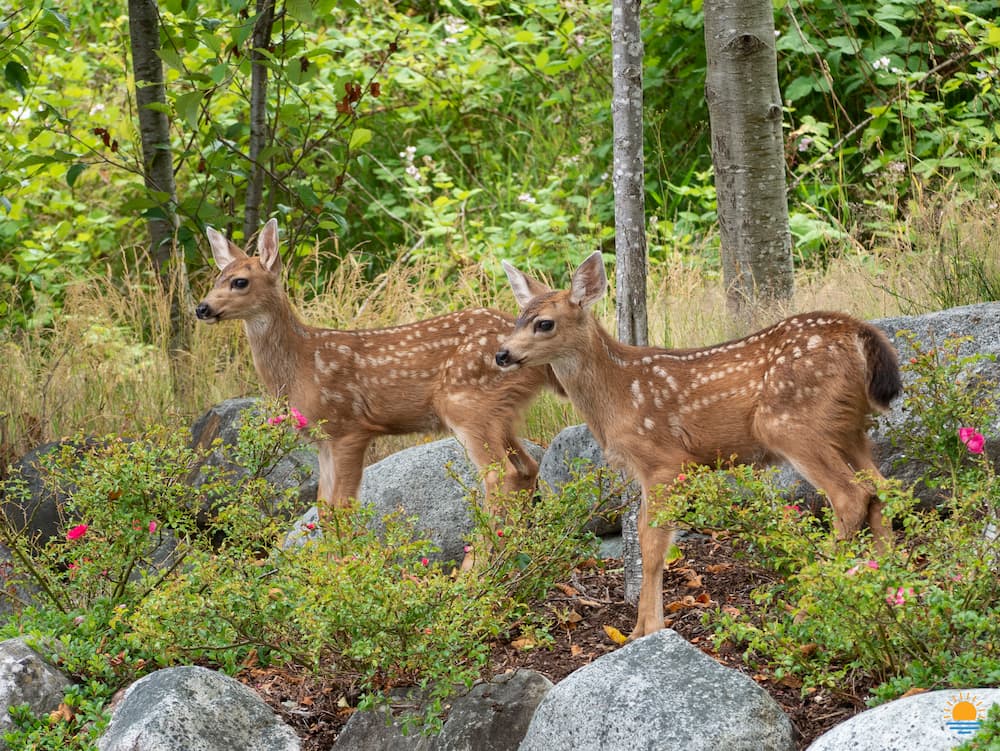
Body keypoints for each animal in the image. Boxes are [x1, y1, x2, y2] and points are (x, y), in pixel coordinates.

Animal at [194, 218, 562, 543]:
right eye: (218, 277)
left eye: (240, 281)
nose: (202, 308)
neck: (303, 363)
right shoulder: (323, 439)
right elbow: (323, 509)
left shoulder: (350, 427)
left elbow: (342, 507)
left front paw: (347, 566)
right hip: (500, 412)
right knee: (526, 468)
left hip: (467, 405)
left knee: (501, 475)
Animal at [495, 251, 902, 640]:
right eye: (517, 318)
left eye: (544, 323)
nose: (501, 354)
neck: (619, 395)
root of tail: (856, 330)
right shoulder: (645, 471)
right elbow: (645, 536)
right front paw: (636, 630)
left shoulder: (665, 460)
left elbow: (653, 543)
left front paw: (651, 628)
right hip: (849, 428)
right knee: (882, 488)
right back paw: (888, 588)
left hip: (791, 424)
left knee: (851, 496)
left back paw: (807, 609)